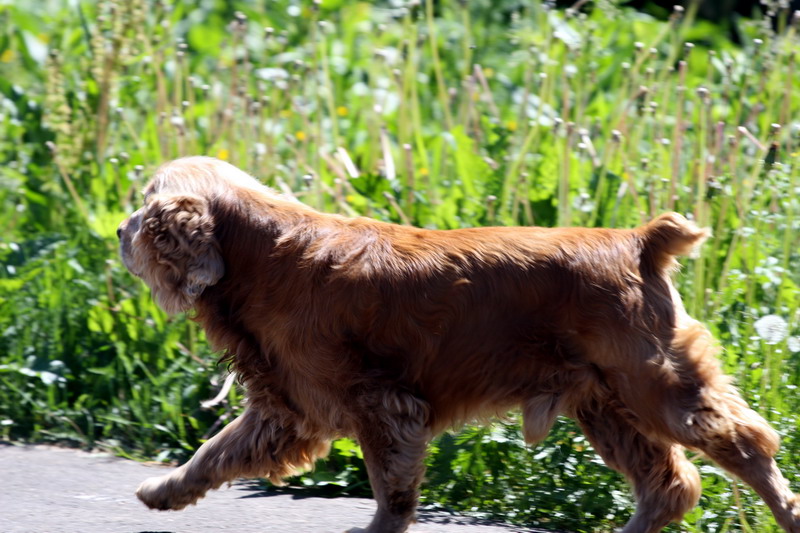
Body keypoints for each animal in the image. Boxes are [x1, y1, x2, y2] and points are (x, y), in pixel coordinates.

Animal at [119, 155, 800, 532]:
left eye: (146, 204)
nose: (123, 232)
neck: (260, 254)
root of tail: (639, 239)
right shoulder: (287, 410)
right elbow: (214, 453)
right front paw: (163, 491)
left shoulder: (382, 405)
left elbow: (392, 491)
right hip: (609, 407)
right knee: (669, 485)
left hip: (656, 389)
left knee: (747, 445)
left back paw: (788, 512)